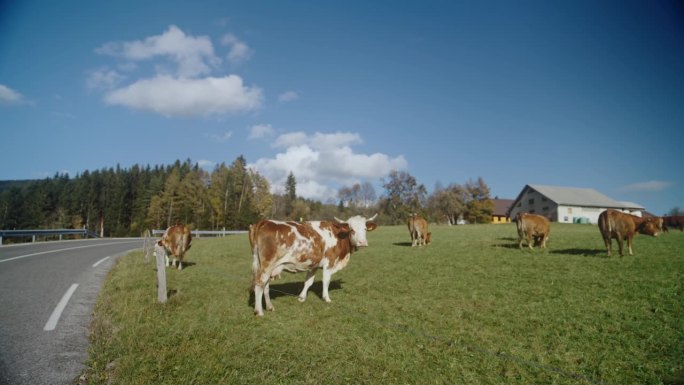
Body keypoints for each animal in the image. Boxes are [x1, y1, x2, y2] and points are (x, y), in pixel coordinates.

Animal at [251, 213, 380, 316]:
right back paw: (259, 311)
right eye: (352, 230)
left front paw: (302, 297)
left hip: (266, 267)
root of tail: (265, 221)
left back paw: (270, 307)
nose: (362, 242)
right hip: (267, 265)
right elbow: (326, 281)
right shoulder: (329, 262)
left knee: (266, 286)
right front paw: (326, 298)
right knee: (260, 284)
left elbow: (308, 282)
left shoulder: (314, 265)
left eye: (365, 229)